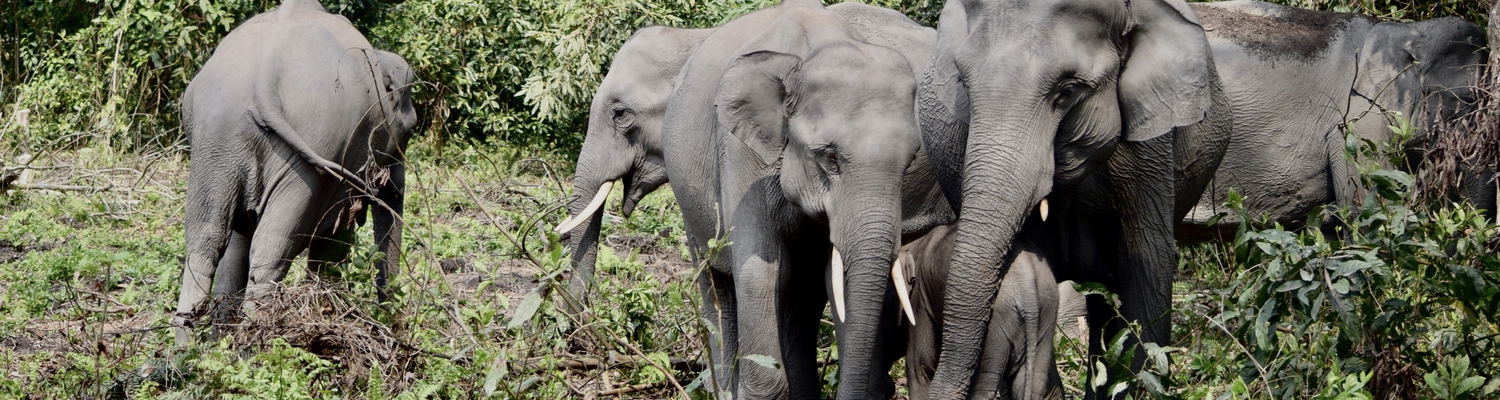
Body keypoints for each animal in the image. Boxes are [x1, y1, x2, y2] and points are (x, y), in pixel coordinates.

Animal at [172, 0, 417, 346]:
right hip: (311, 150)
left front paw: (220, 341)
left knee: (206, 239)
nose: (392, 327)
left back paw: (188, 352)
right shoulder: (344, 166)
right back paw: (256, 348)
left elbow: (237, 245)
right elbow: (333, 240)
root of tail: (264, 76)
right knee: (272, 249)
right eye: (409, 132)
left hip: (215, 140)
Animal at [899, 224, 1091, 399]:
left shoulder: (919, 297)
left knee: (986, 381)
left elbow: (920, 363)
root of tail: (1027, 286)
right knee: (1034, 378)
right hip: (1046, 310)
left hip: (997, 322)